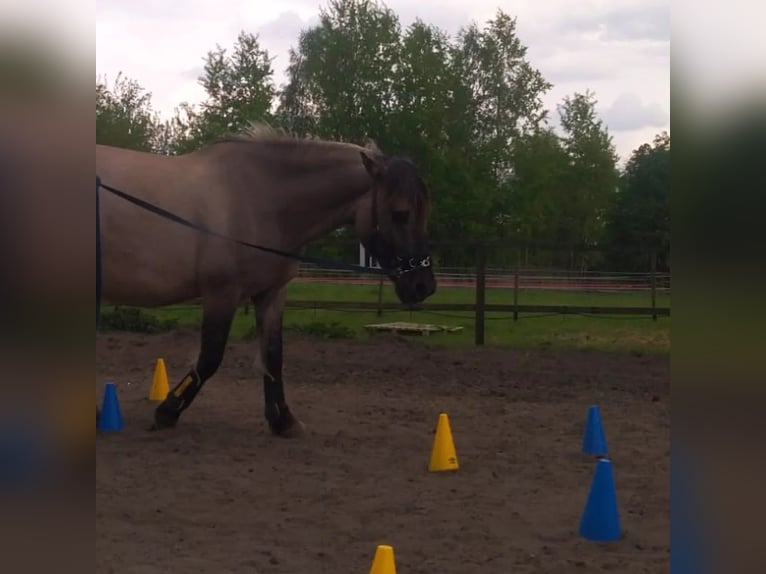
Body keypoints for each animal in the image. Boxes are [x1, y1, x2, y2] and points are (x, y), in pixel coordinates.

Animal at [94, 124, 438, 438]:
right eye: (401, 213)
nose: (424, 286)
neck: (259, 197)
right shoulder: (222, 294)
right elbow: (210, 357)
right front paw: (167, 411)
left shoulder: (271, 294)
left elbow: (273, 356)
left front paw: (283, 420)